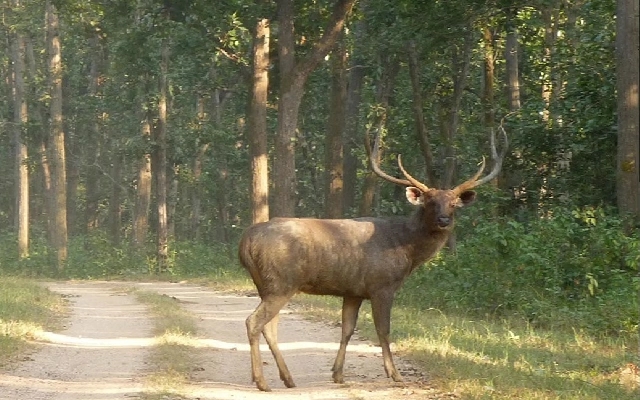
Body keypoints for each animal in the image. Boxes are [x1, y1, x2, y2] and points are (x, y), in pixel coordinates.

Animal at [238, 128, 508, 392]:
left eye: (453, 203)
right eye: (430, 202)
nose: (443, 220)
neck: (407, 249)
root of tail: (246, 241)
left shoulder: (353, 291)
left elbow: (347, 330)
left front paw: (338, 375)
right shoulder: (382, 286)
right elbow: (383, 330)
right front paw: (395, 374)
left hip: (266, 284)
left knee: (269, 326)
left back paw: (287, 378)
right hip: (281, 281)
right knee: (254, 322)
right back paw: (262, 382)